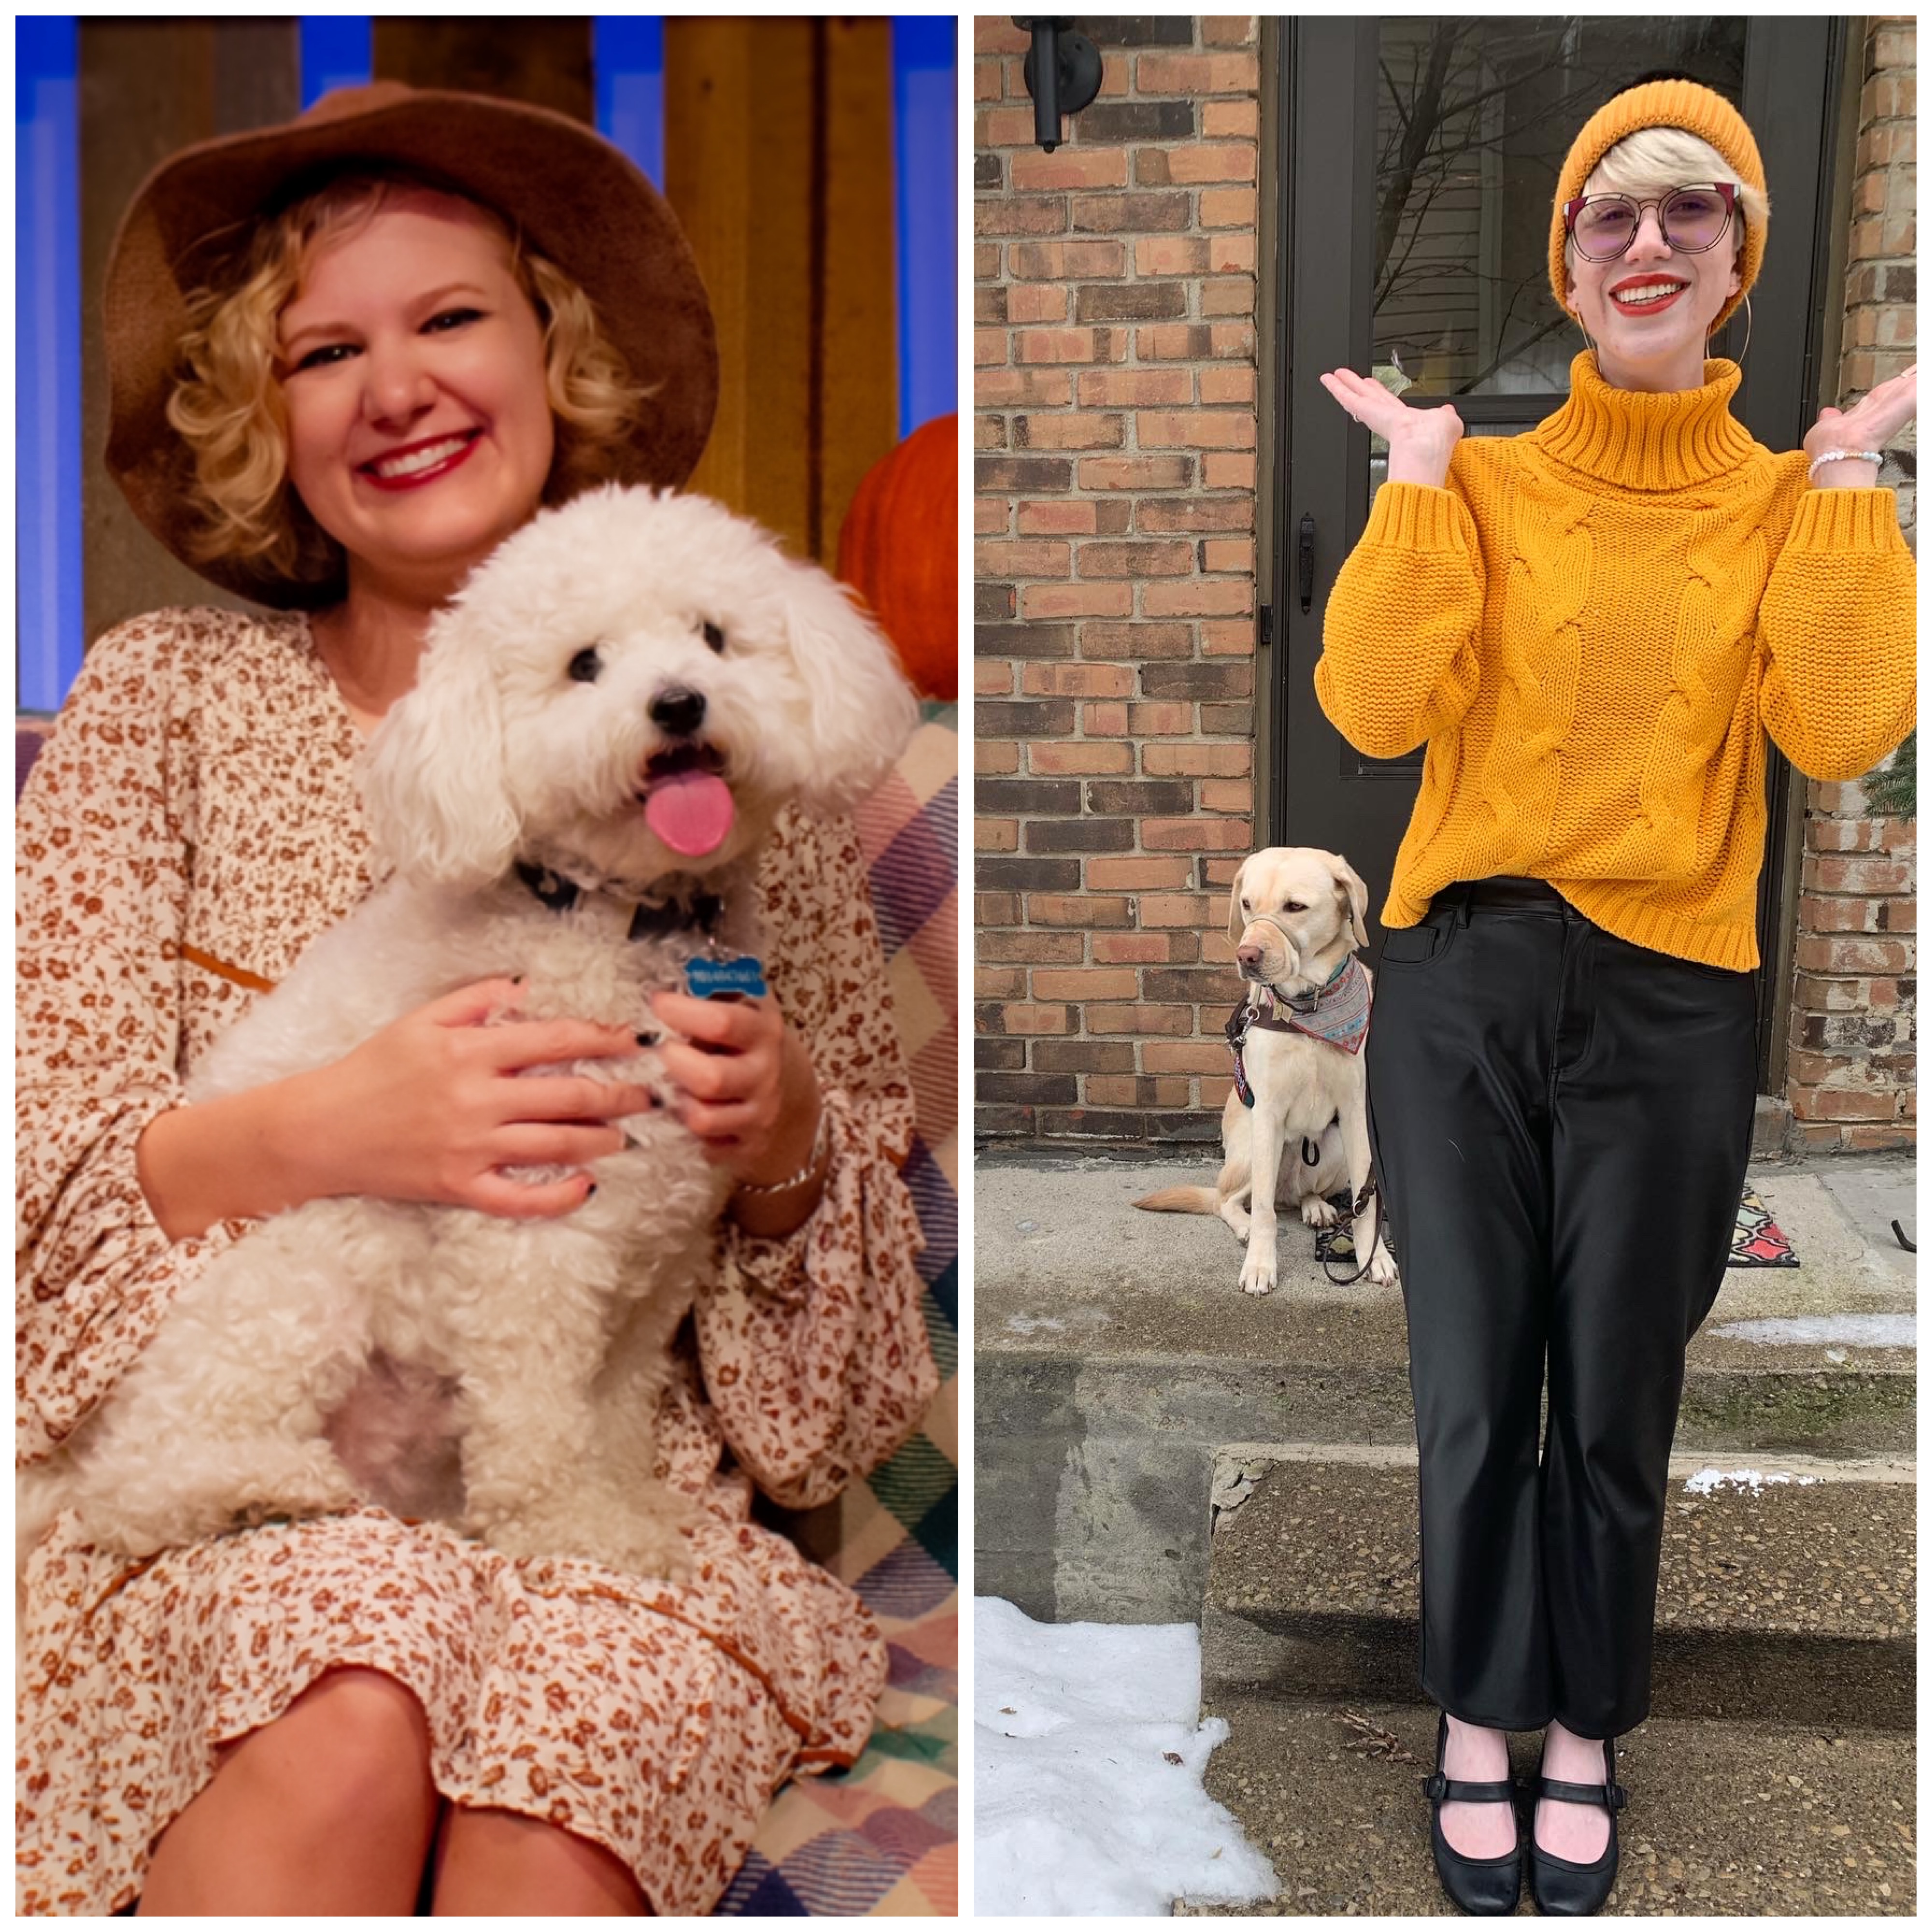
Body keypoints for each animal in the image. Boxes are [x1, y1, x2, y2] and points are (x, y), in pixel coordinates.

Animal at [1136, 850, 1399, 1291]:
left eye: (1295, 907)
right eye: (1246, 904)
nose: (1246, 956)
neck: (1308, 1009)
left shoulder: (1355, 1113)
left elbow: (1367, 1204)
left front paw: (1373, 1257)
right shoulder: (1269, 1113)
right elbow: (1262, 1211)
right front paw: (1260, 1265)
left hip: (1334, 1152)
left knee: (1301, 1196)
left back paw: (1315, 1207)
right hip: (1249, 1153)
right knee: (1231, 1201)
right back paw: (1244, 1225)